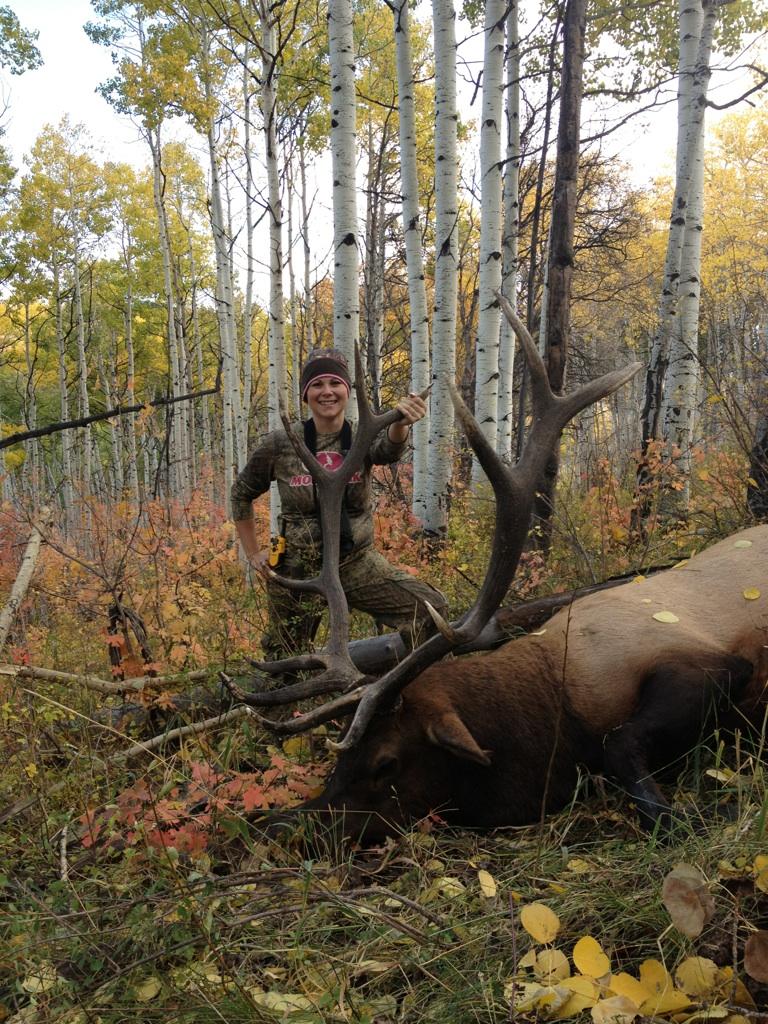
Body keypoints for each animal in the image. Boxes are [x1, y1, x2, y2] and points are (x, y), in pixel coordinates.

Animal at [236, 305, 768, 847]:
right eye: (339, 760)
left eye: (386, 763)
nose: (275, 824)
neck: (558, 710)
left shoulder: (707, 662)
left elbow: (620, 745)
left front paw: (684, 816)